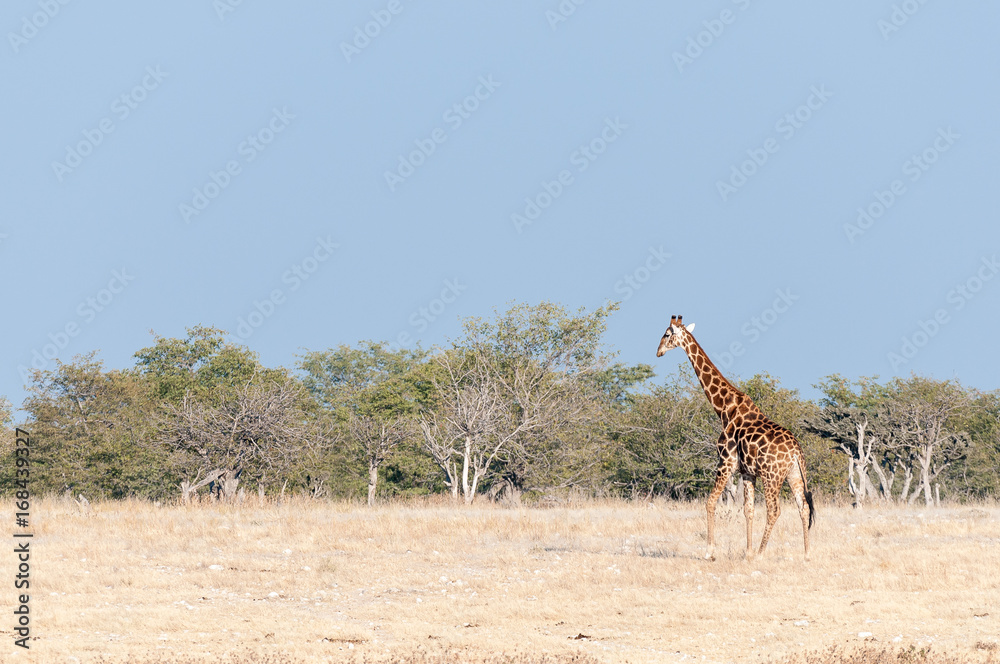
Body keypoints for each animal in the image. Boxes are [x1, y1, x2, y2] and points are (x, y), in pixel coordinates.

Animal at [656, 315, 815, 560]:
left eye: (666, 334)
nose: (658, 352)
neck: (724, 408)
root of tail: (796, 452)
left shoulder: (725, 462)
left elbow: (710, 502)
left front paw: (710, 552)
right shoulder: (747, 471)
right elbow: (748, 510)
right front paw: (746, 552)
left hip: (772, 476)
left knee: (774, 510)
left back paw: (761, 553)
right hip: (794, 474)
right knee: (803, 507)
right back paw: (806, 554)